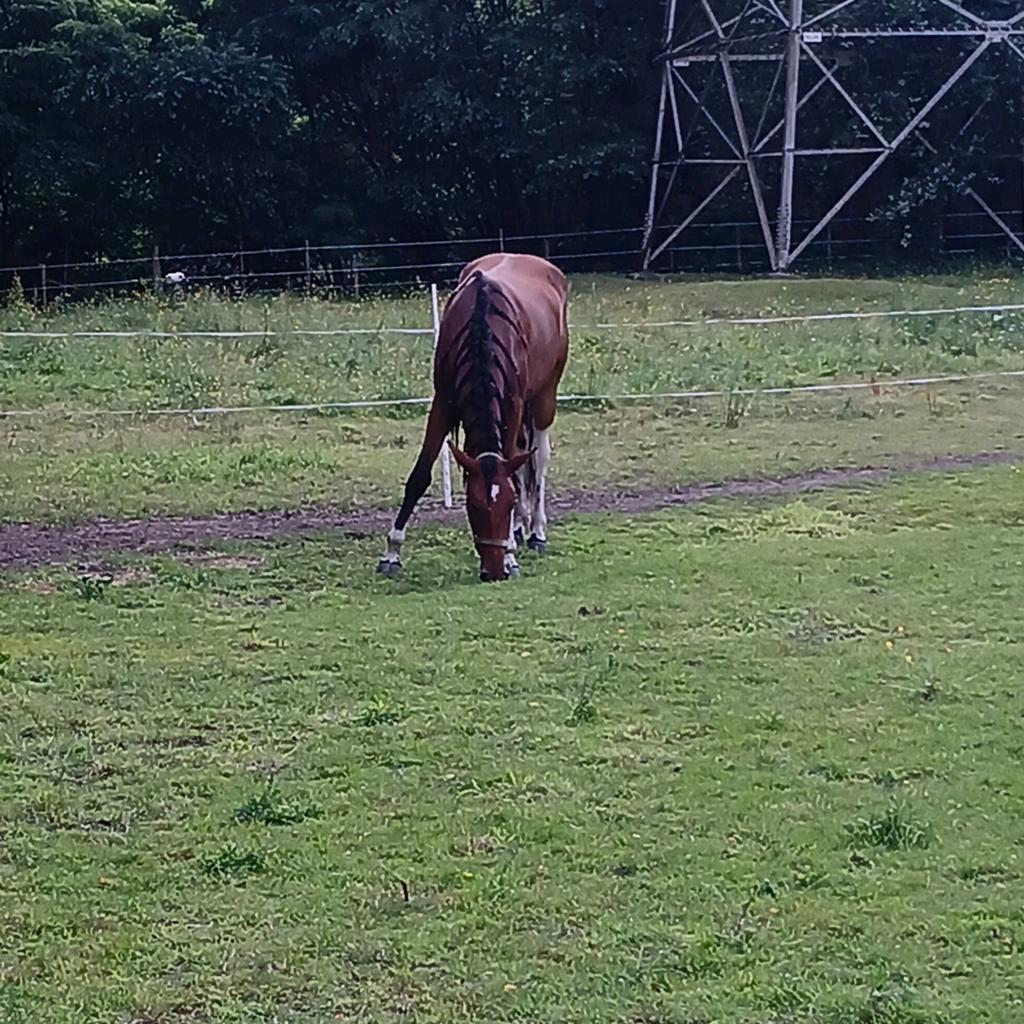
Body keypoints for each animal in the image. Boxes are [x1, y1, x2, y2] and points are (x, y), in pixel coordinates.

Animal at [377, 252, 570, 582]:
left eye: (506, 504)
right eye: (475, 506)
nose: (493, 572)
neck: (482, 326)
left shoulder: (514, 403)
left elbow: (514, 474)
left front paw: (510, 555)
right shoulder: (443, 402)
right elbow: (419, 476)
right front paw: (392, 552)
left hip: (545, 396)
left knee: (539, 459)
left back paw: (536, 532)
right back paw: (520, 529)